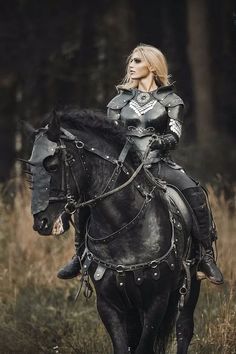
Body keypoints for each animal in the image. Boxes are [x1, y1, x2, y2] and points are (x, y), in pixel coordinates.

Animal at [25, 110, 200, 354]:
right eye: (30, 169)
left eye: (51, 165)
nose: (41, 223)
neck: (124, 228)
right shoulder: (109, 304)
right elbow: (123, 346)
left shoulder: (156, 300)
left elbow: (145, 346)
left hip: (191, 287)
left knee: (184, 329)